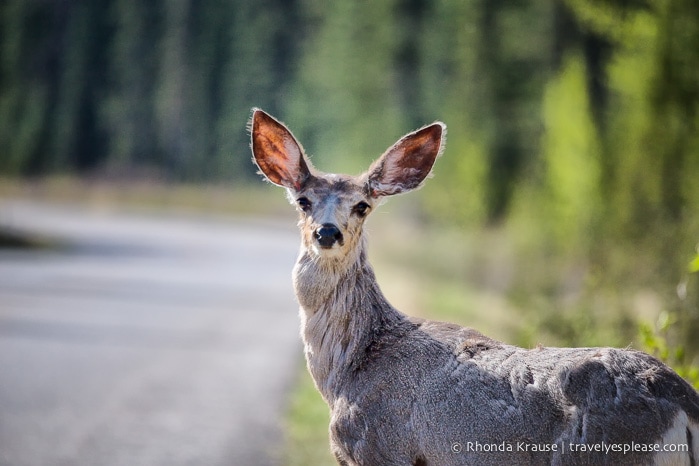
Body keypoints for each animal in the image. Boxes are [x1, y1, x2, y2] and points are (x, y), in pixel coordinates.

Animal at [249, 107, 696, 464]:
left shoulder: (382, 447)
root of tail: (682, 402)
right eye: (303, 201)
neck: (348, 370)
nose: (327, 233)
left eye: (362, 205)